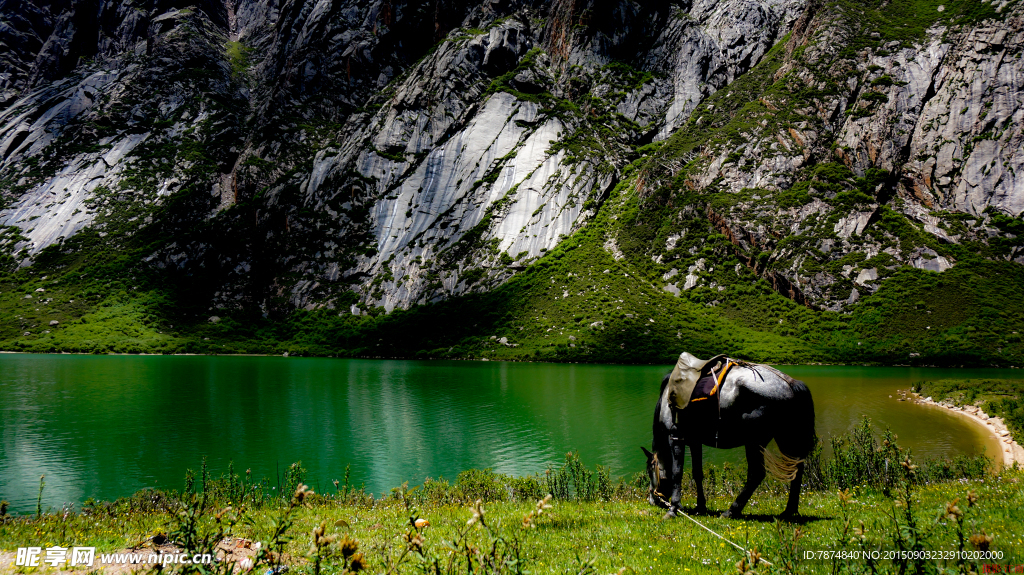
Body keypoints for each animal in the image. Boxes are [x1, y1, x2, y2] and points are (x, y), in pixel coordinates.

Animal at [638, 354, 815, 519]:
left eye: (649, 470)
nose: (652, 500)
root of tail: (790, 382)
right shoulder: (695, 441)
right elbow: (697, 473)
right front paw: (700, 507)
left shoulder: (676, 437)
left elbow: (677, 473)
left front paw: (673, 509)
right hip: (785, 438)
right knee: (796, 469)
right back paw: (788, 511)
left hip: (754, 441)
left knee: (757, 474)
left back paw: (731, 511)